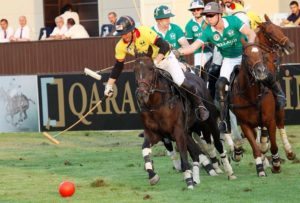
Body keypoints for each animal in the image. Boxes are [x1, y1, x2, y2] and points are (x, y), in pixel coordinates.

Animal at [135, 50, 236, 189]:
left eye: (151, 69)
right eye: (135, 71)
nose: (141, 94)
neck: (157, 104)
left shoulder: (178, 132)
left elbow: (184, 156)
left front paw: (188, 180)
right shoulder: (156, 134)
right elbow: (145, 149)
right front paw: (152, 175)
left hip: (209, 123)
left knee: (217, 144)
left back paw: (229, 171)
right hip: (189, 131)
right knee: (196, 151)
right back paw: (202, 174)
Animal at [230, 40, 282, 176]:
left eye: (261, 53)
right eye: (245, 55)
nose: (261, 71)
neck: (252, 96)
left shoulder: (270, 121)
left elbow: (274, 145)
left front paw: (276, 164)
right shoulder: (245, 124)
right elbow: (255, 147)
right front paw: (260, 168)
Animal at [254, 14, 296, 160]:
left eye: (279, 28)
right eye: (270, 33)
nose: (291, 46)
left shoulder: (278, 100)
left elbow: (278, 122)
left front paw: (289, 151)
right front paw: (264, 144)